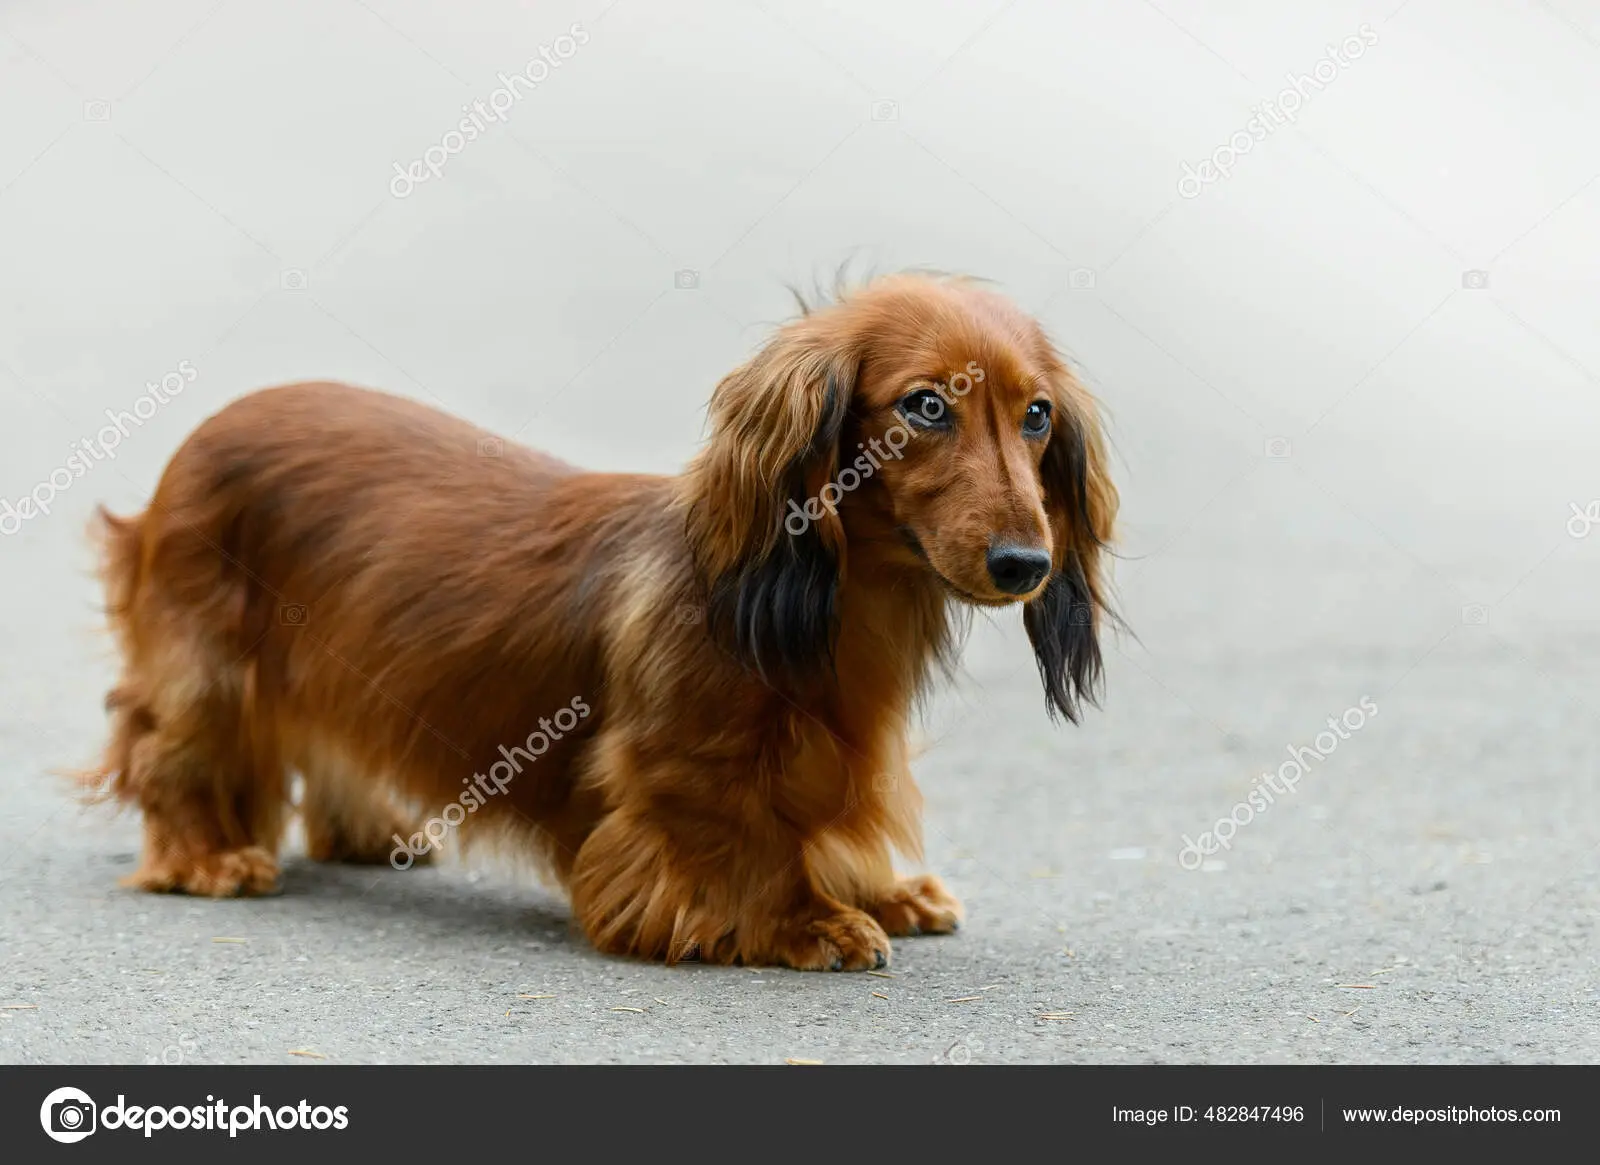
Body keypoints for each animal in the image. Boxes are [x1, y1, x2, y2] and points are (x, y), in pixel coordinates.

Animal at [87, 275, 1113, 972]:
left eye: (1036, 414)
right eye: (925, 405)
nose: (1025, 566)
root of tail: (206, 431)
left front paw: (881, 888)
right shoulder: (681, 765)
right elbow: (746, 841)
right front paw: (805, 919)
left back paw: (370, 831)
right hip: (206, 674)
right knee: (166, 755)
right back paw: (207, 855)